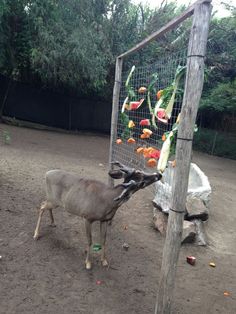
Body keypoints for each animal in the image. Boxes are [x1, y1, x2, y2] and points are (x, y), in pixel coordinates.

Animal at [33, 162, 162, 270]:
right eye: (139, 174)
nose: (158, 174)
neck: (108, 201)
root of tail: (47, 173)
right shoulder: (87, 217)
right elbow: (90, 241)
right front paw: (88, 263)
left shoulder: (105, 220)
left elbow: (103, 240)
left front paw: (104, 261)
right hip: (53, 200)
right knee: (41, 206)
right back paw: (36, 234)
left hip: (54, 201)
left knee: (44, 205)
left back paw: (52, 222)